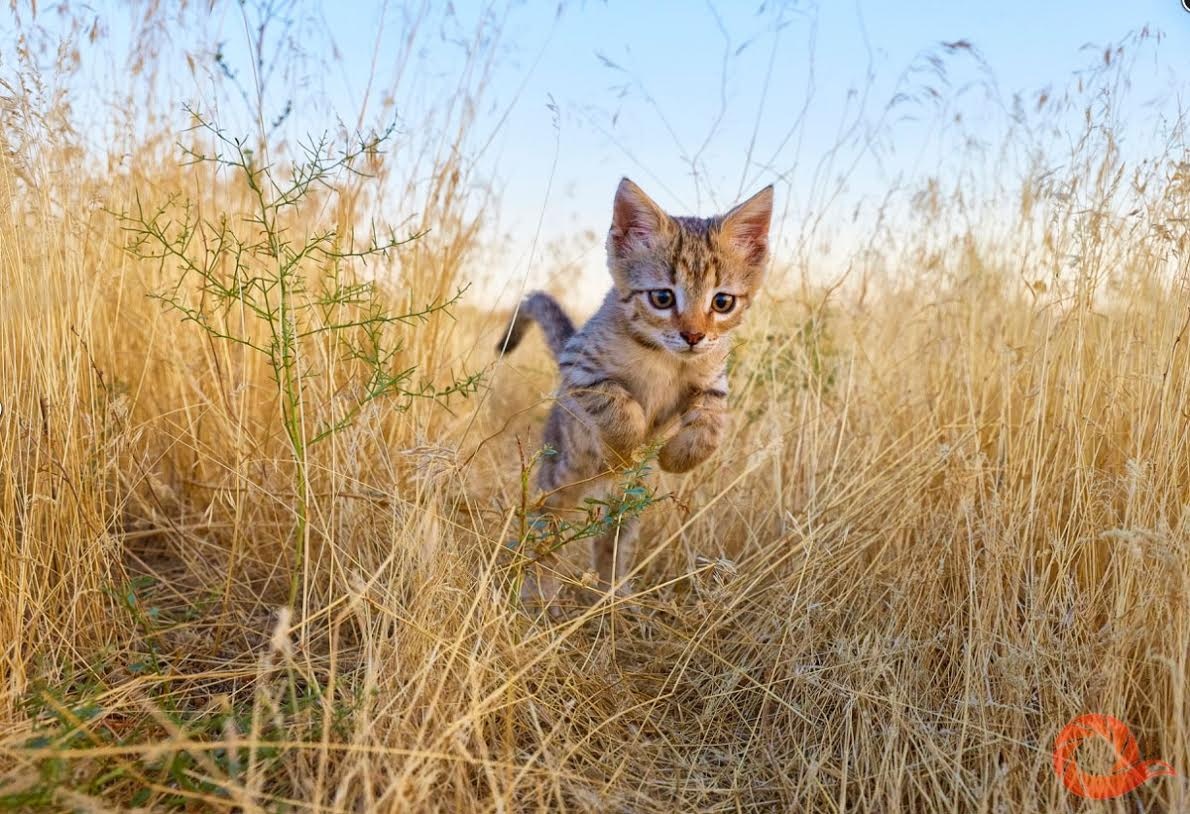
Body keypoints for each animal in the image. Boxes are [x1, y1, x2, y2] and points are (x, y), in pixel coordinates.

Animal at [492, 178, 771, 606]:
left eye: (722, 302)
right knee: (544, 526)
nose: (693, 336)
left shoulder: (714, 384)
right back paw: (537, 589)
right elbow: (620, 405)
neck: (666, 359)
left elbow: (710, 428)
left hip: (628, 502)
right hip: (560, 476)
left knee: (612, 541)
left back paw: (613, 595)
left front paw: (676, 456)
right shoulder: (579, 367)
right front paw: (625, 448)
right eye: (662, 297)